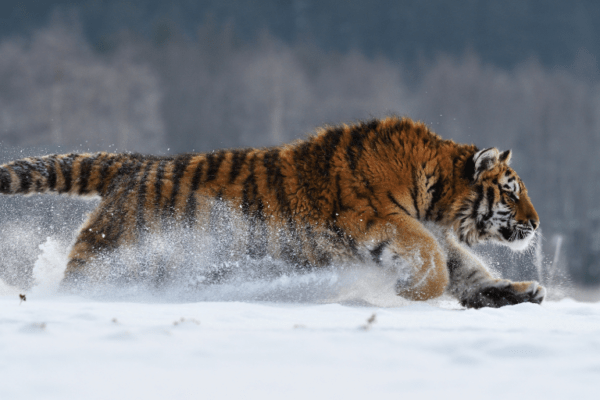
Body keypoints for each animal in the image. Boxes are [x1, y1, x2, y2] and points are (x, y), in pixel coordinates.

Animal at [0, 117, 544, 308]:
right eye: (511, 191)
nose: (537, 224)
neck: (437, 194)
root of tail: (133, 164)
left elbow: (469, 270)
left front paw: (522, 292)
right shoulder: (376, 219)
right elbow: (432, 259)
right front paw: (412, 292)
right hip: (114, 253)